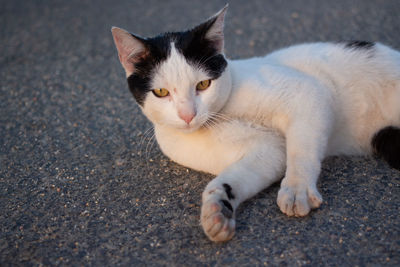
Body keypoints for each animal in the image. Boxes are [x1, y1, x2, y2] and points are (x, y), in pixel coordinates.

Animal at [111, 4, 400, 243]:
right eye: (161, 92)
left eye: (203, 85)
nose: (187, 115)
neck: (221, 115)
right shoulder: (268, 152)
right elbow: (231, 179)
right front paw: (217, 212)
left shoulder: (307, 93)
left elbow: (301, 151)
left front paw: (297, 189)